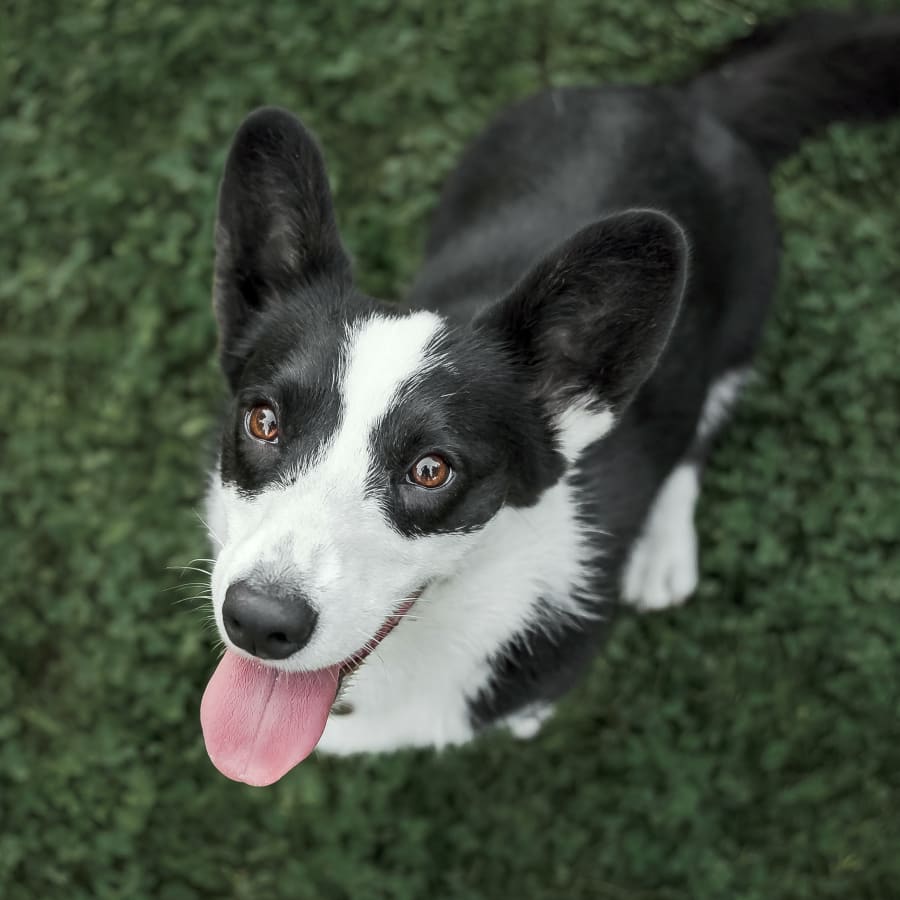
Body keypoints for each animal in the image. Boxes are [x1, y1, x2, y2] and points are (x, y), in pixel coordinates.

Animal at [199, 10, 900, 784]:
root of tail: (685, 102)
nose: (259, 622)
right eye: (263, 421)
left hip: (745, 316)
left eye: (432, 470)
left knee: (701, 428)